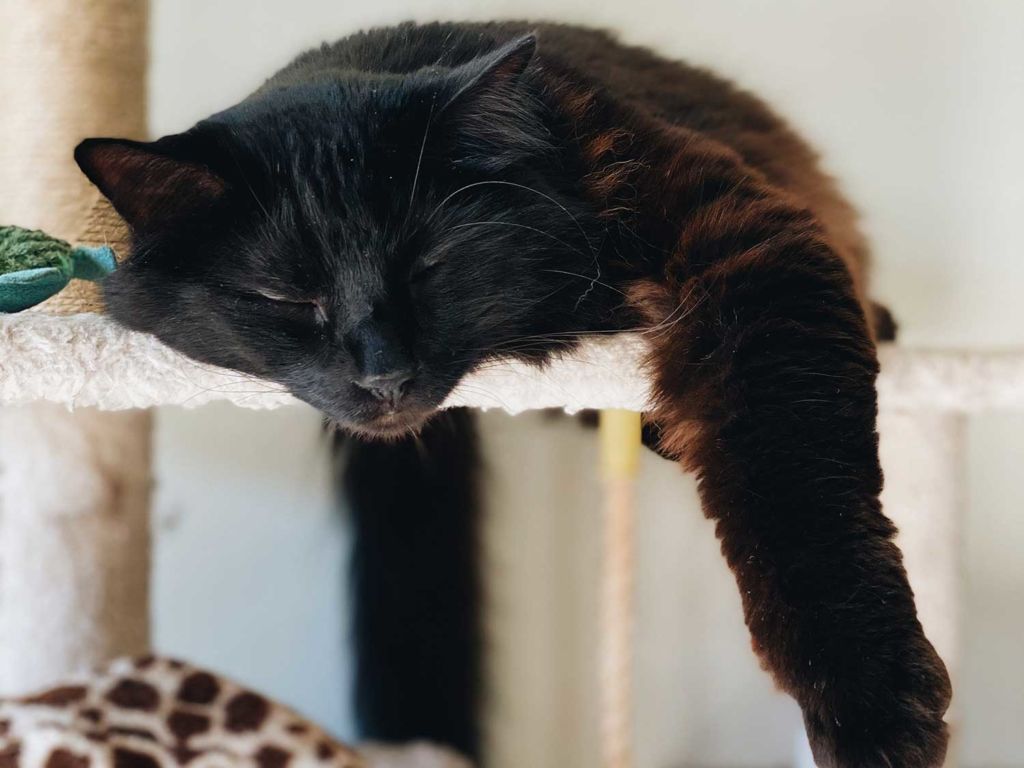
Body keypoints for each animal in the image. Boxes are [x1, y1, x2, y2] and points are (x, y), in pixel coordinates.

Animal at [77, 20, 950, 765]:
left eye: (425, 266)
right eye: (288, 297)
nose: (382, 374)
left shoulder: (751, 250)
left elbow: (802, 498)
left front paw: (876, 712)